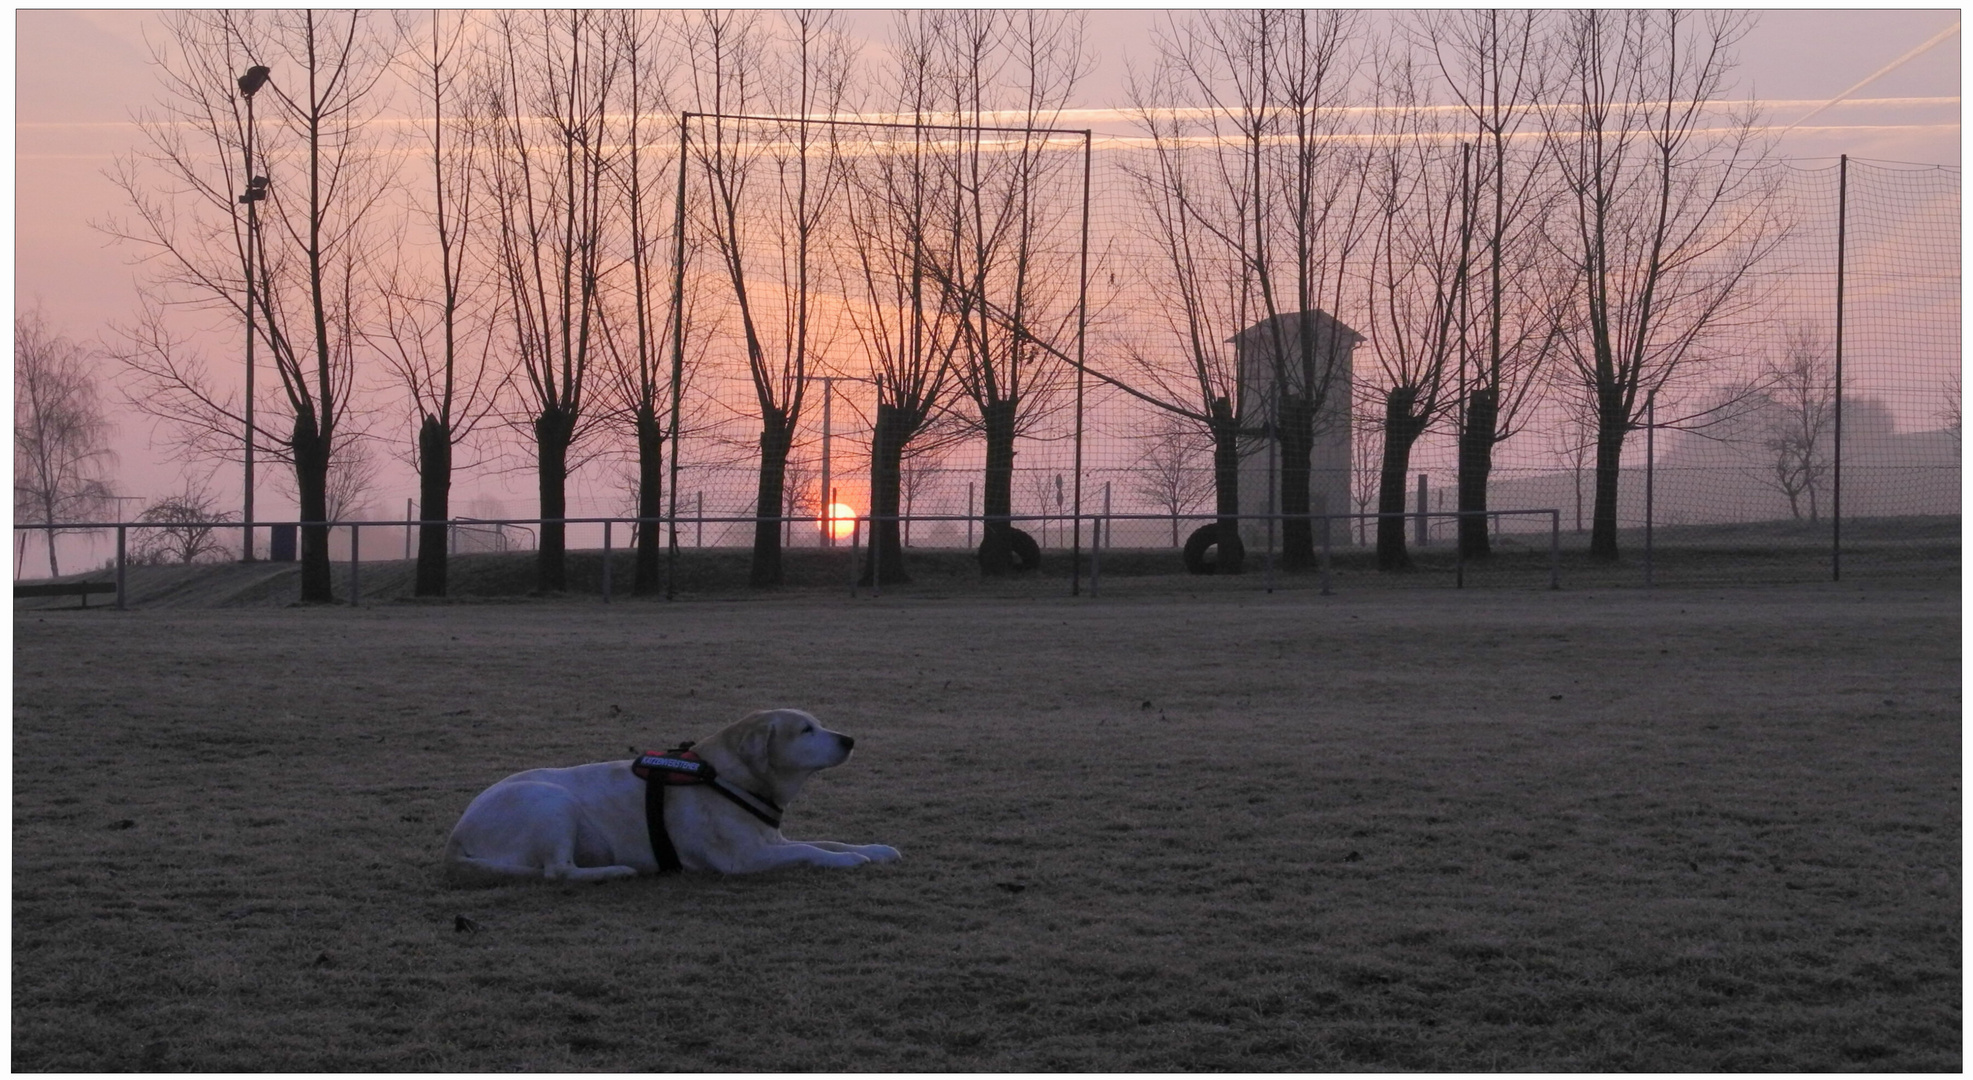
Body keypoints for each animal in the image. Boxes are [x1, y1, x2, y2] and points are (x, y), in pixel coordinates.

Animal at [445, 710, 903, 880]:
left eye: (818, 724)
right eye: (806, 730)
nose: (849, 740)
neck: (728, 777)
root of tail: (457, 834)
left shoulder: (773, 839)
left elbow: (828, 840)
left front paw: (874, 848)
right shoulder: (744, 858)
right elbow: (813, 850)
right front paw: (847, 860)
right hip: (551, 801)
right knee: (558, 871)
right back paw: (617, 871)